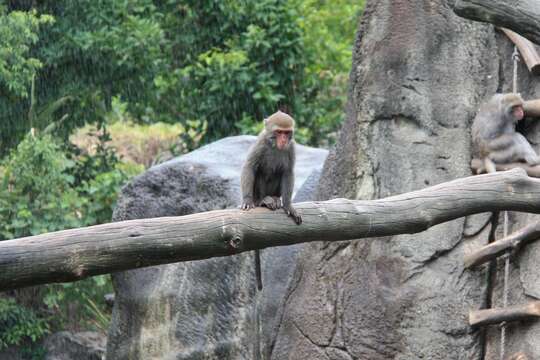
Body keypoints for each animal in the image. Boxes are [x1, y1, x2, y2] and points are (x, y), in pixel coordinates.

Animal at [242, 109, 302, 290]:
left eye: (287, 133)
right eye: (279, 132)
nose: (283, 140)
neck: (275, 146)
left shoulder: (291, 147)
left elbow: (288, 172)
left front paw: (289, 206)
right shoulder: (261, 143)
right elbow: (250, 167)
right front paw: (246, 200)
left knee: (279, 172)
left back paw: (276, 199)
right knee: (261, 171)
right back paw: (264, 200)